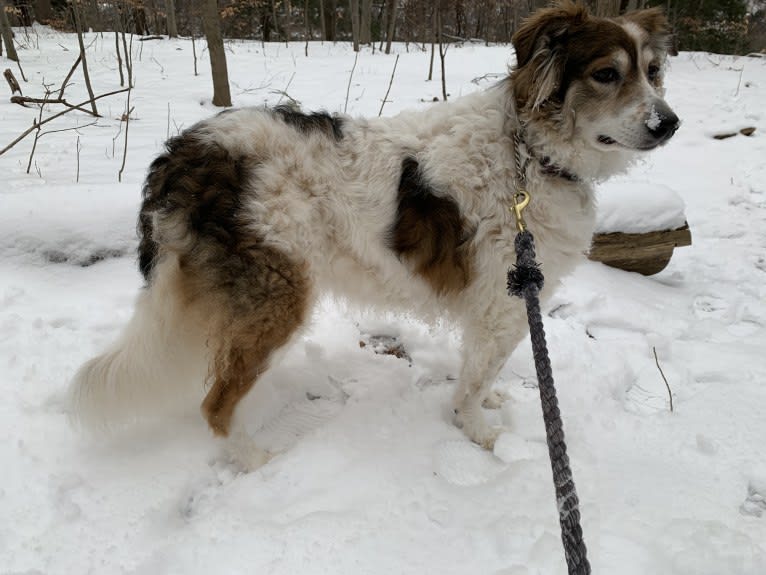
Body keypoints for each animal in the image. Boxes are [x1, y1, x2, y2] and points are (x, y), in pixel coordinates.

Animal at [69, 0, 680, 462]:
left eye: (652, 72)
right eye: (607, 74)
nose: (668, 123)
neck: (528, 153)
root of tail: (187, 153)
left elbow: (482, 375)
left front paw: (485, 406)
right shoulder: (501, 305)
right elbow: (474, 380)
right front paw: (478, 431)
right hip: (279, 299)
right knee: (215, 404)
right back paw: (253, 461)